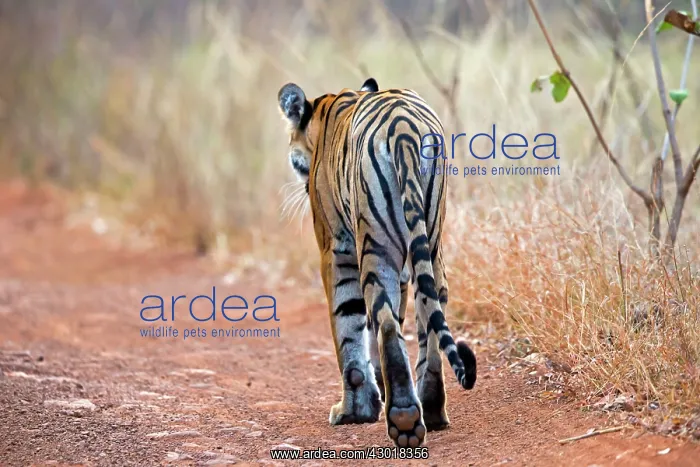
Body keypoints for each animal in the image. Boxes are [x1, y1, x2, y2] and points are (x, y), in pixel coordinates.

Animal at [277, 78, 477, 448]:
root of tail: (403, 132)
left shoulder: (336, 252)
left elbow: (349, 331)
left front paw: (355, 411)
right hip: (431, 241)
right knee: (429, 314)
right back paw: (431, 409)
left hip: (375, 244)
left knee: (383, 321)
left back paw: (404, 418)